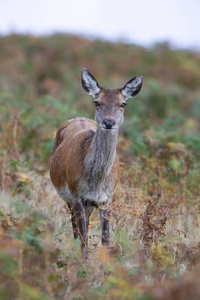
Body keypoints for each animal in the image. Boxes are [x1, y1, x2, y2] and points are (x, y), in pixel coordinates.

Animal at [50, 68, 143, 258]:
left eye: (123, 104)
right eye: (97, 102)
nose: (108, 122)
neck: (96, 182)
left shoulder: (107, 198)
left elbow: (105, 239)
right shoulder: (76, 194)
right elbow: (84, 236)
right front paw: (83, 263)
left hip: (88, 204)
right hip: (69, 198)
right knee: (75, 229)